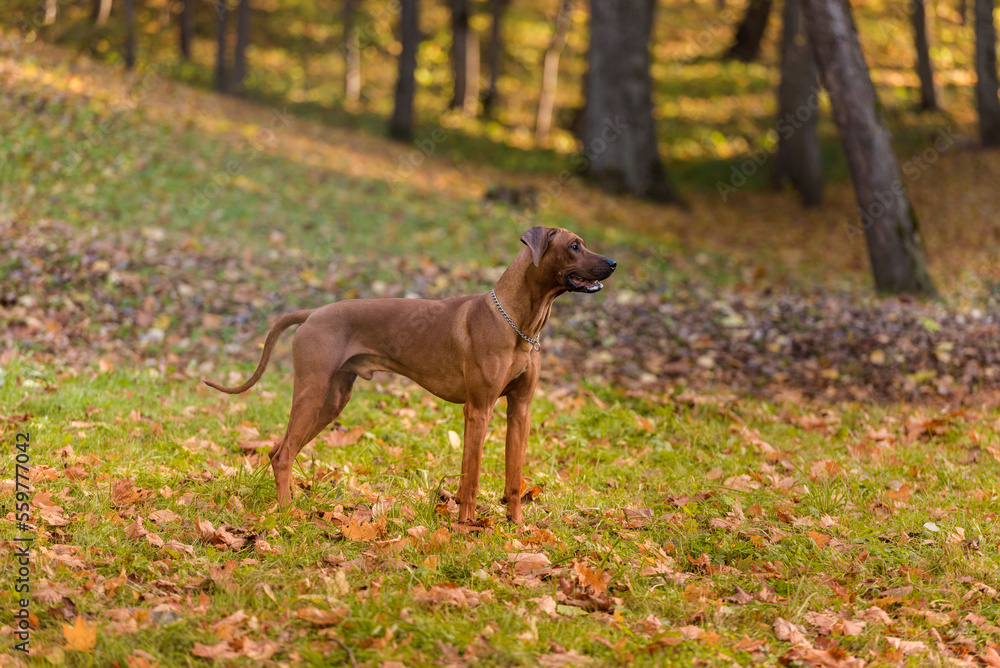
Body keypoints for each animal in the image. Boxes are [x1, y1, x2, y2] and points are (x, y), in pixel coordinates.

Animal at [204, 227, 612, 524]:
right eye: (575, 246)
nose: (613, 262)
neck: (517, 323)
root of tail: (314, 313)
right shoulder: (478, 410)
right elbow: (471, 476)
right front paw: (467, 526)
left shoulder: (520, 409)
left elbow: (514, 477)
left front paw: (517, 526)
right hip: (312, 392)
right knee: (284, 453)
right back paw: (289, 512)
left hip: (331, 401)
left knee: (277, 450)